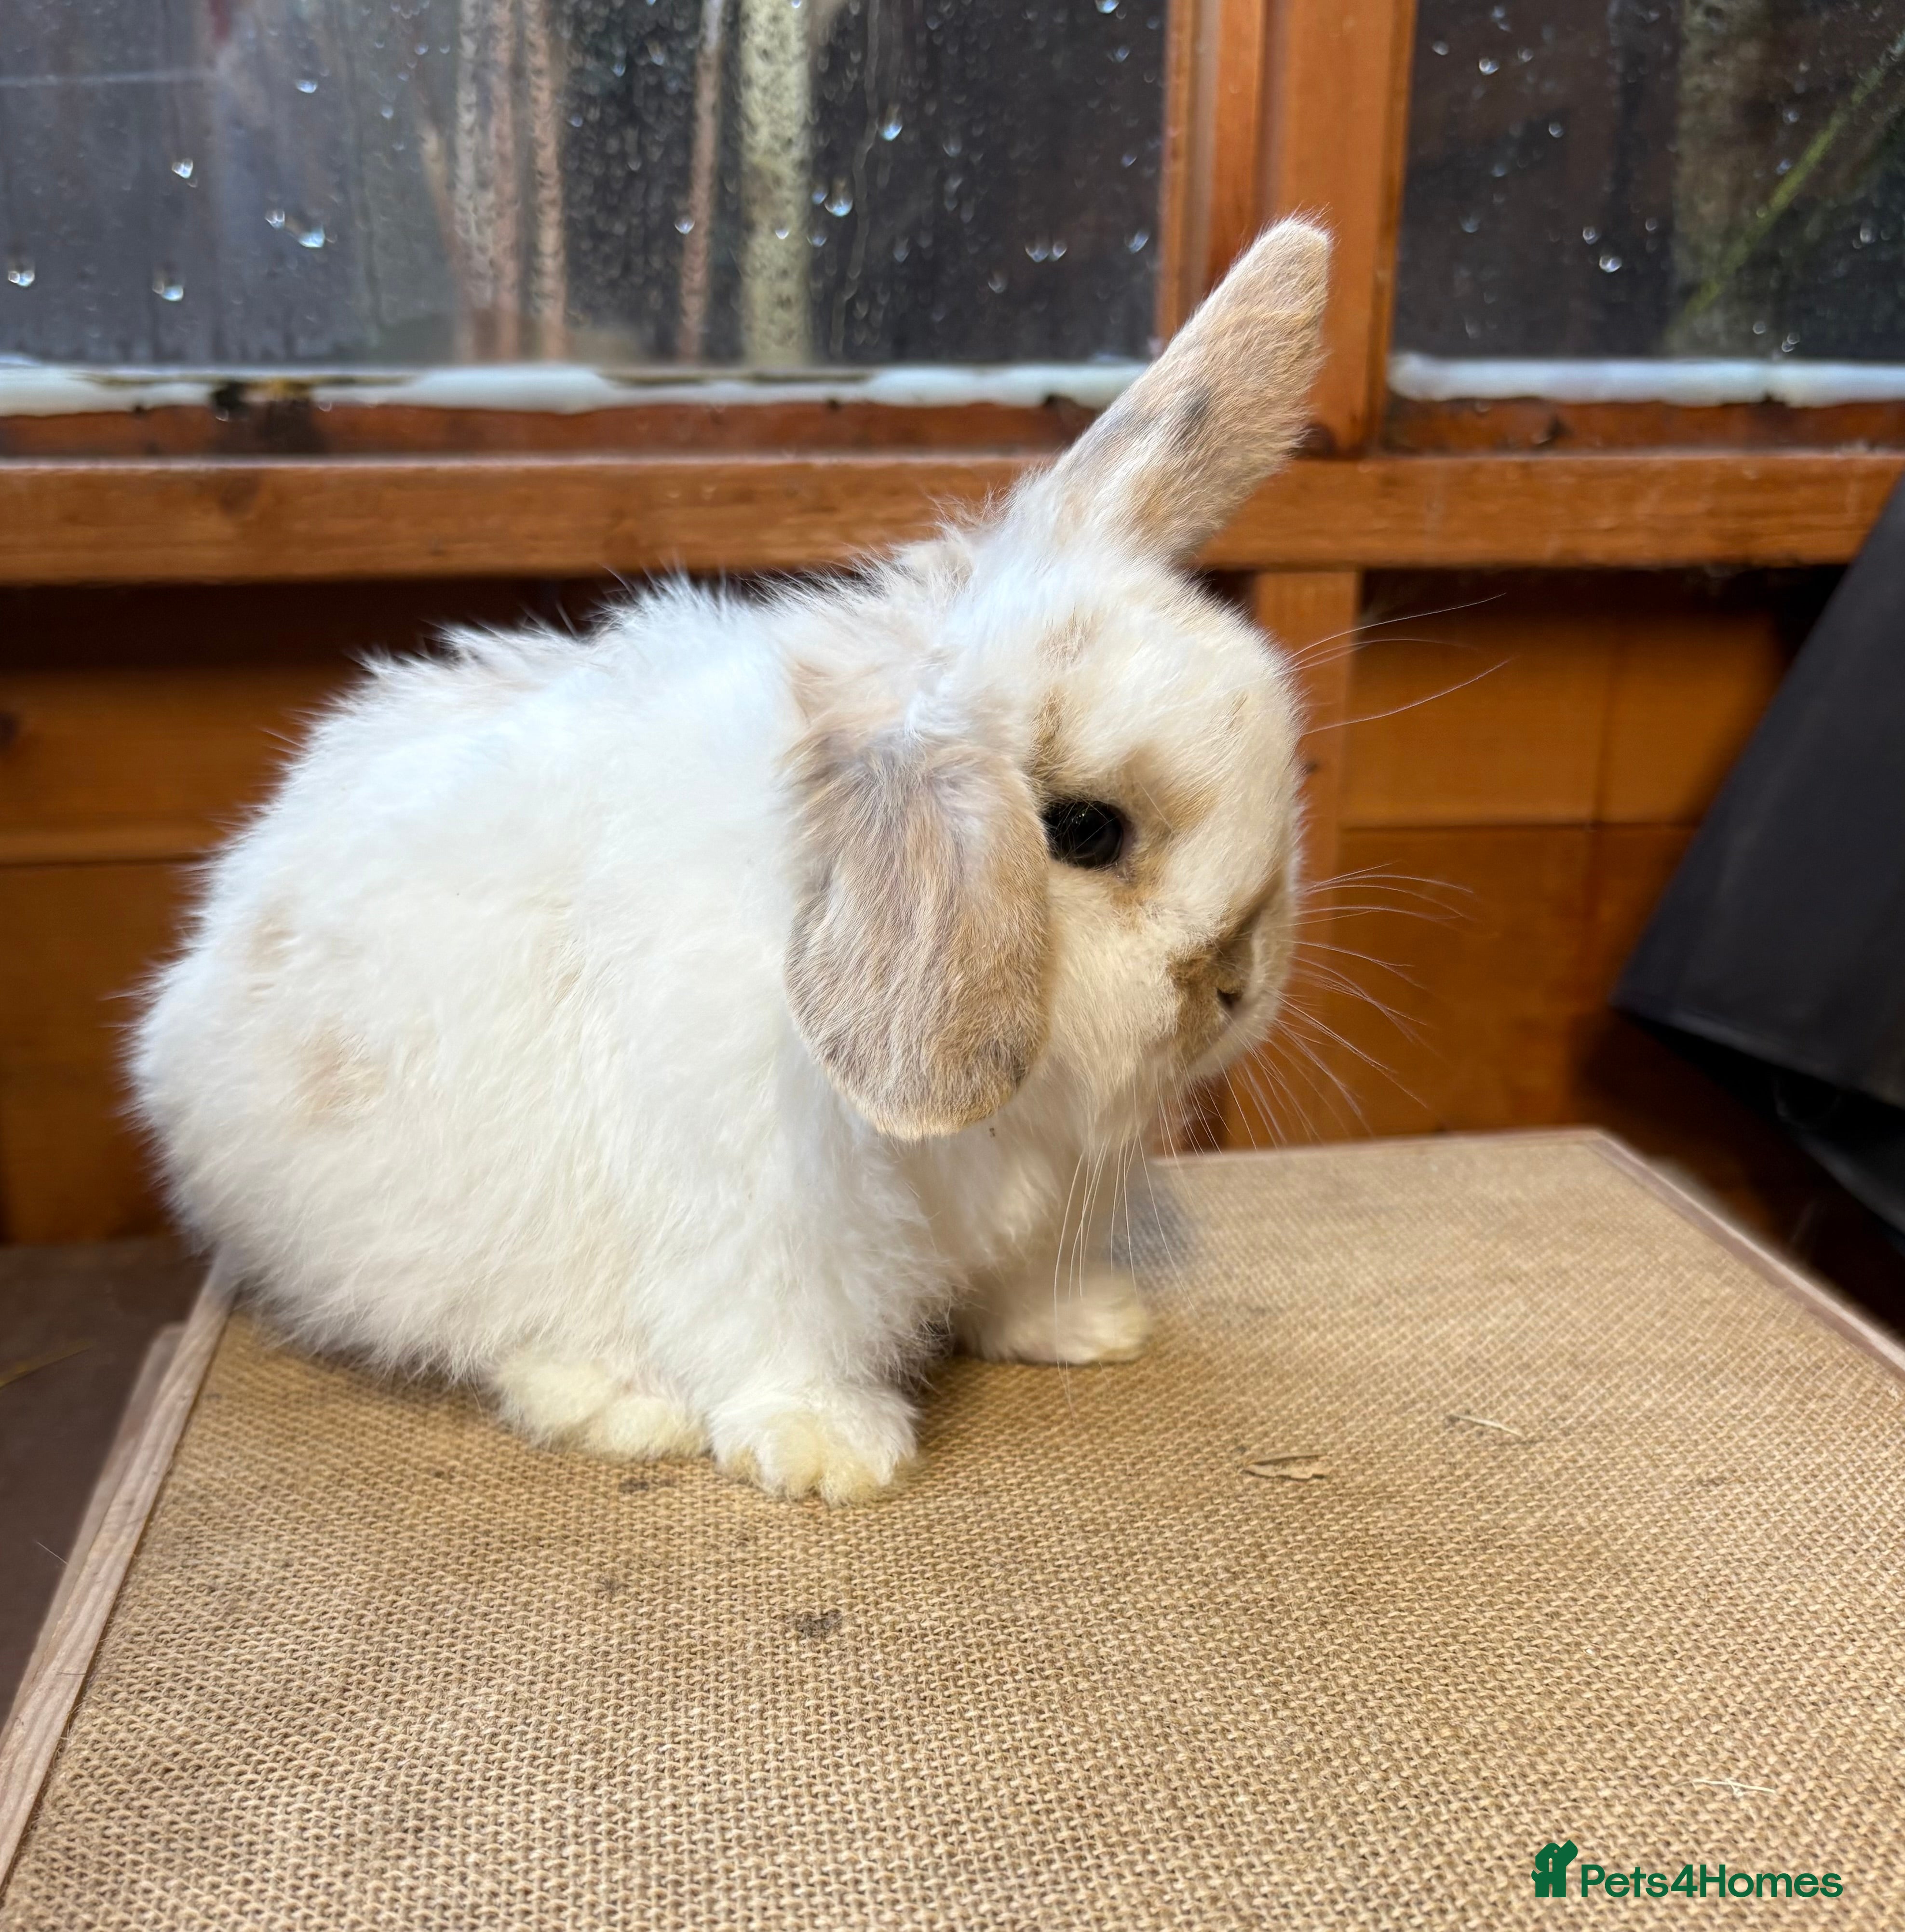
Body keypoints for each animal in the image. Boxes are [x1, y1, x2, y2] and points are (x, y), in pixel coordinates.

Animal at [131, 219, 1330, 1504]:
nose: (1235, 983)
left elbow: (1012, 1283)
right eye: (1085, 832)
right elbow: (780, 1332)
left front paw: (1083, 1327)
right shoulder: (764, 1219)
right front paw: (829, 1451)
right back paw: (617, 1403)